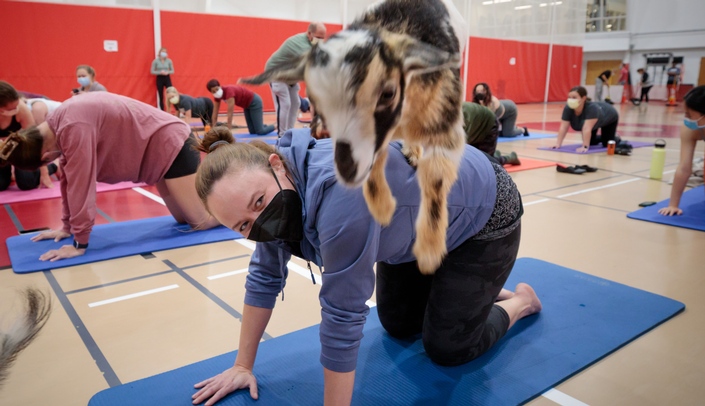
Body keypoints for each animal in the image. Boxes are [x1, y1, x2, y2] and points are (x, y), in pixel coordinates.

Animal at [242, 0, 468, 274]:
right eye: (316, 102)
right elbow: (374, 163)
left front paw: (429, 253)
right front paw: (383, 208)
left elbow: (435, 179)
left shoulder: (444, 124)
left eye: (388, 93)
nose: (347, 172)